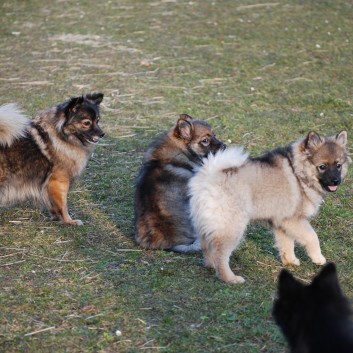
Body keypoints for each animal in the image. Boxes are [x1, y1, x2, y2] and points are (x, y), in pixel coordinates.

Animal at [0, 93, 104, 226]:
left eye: (98, 121)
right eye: (87, 123)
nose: (102, 134)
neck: (61, 136)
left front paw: (56, 217)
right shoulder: (59, 181)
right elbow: (63, 205)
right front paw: (69, 221)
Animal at [188, 131, 348, 282]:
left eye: (338, 165)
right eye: (322, 166)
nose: (336, 181)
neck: (299, 172)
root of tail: (208, 176)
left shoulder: (282, 223)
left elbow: (287, 244)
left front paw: (290, 261)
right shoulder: (294, 220)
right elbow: (312, 237)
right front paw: (318, 258)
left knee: (207, 248)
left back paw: (210, 266)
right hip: (232, 227)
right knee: (220, 255)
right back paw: (230, 278)